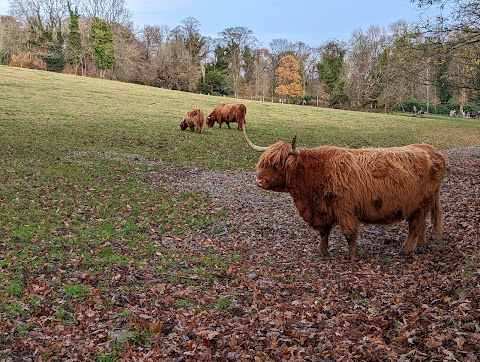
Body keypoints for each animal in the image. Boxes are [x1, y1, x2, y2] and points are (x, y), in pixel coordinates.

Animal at [244, 126, 446, 262]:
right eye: (262, 163)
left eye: (276, 165)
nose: (259, 181)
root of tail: (430, 149)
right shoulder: (323, 209)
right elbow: (324, 232)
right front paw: (322, 252)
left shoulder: (345, 209)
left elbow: (349, 234)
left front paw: (353, 257)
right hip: (422, 204)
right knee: (421, 224)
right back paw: (421, 246)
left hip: (420, 203)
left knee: (414, 226)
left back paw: (405, 250)